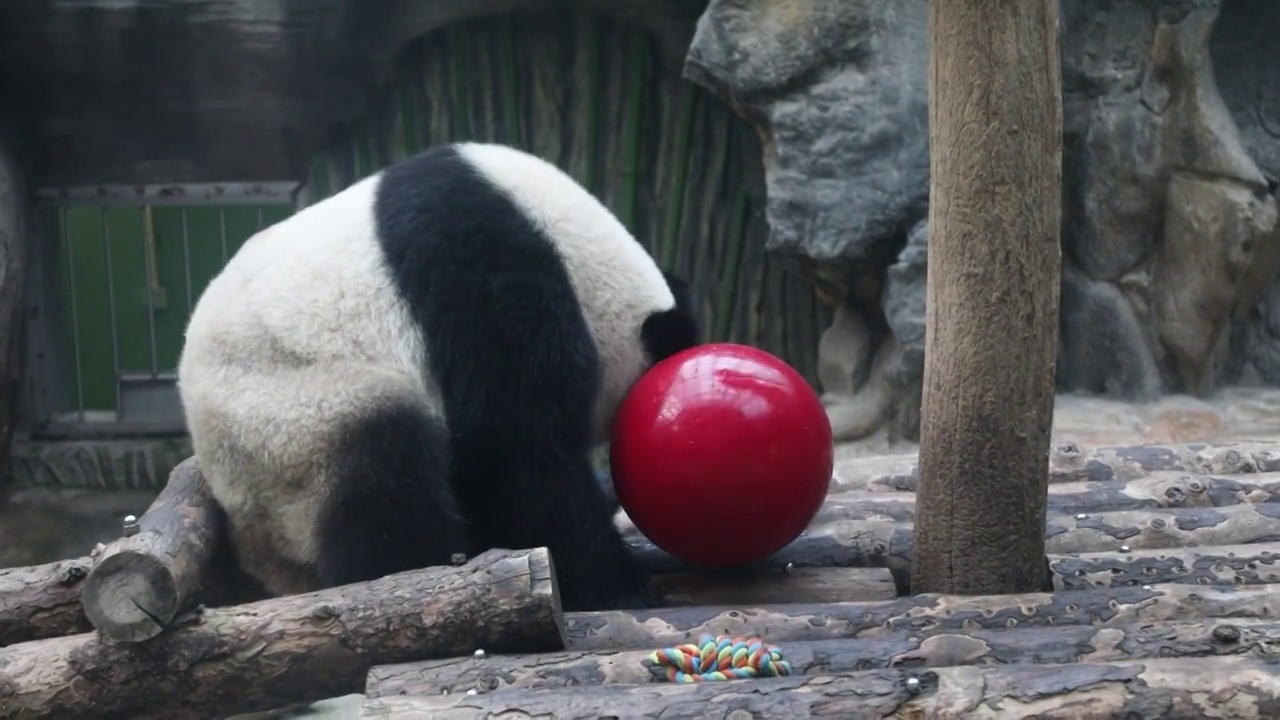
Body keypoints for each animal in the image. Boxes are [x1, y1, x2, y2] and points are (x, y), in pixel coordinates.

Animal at [175, 141, 701, 609]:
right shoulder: (491, 272)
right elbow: (514, 449)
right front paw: (619, 584)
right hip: (288, 419)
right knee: (383, 464)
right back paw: (421, 569)